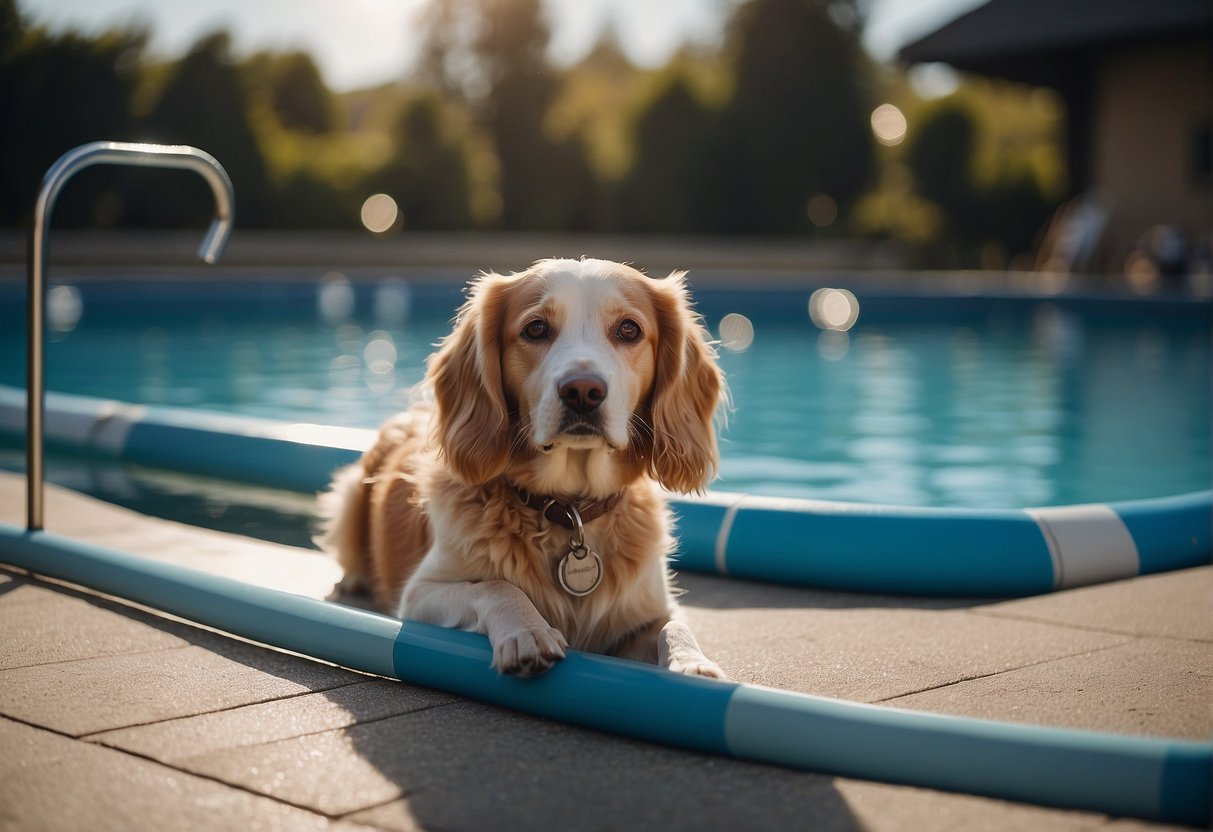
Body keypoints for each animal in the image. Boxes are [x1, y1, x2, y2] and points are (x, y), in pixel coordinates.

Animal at [317, 257, 722, 679]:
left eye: (629, 329)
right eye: (536, 328)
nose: (582, 391)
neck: (570, 512)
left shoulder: (648, 611)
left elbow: (673, 626)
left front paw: (692, 663)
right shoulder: (420, 594)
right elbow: (496, 586)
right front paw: (527, 631)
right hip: (349, 496)